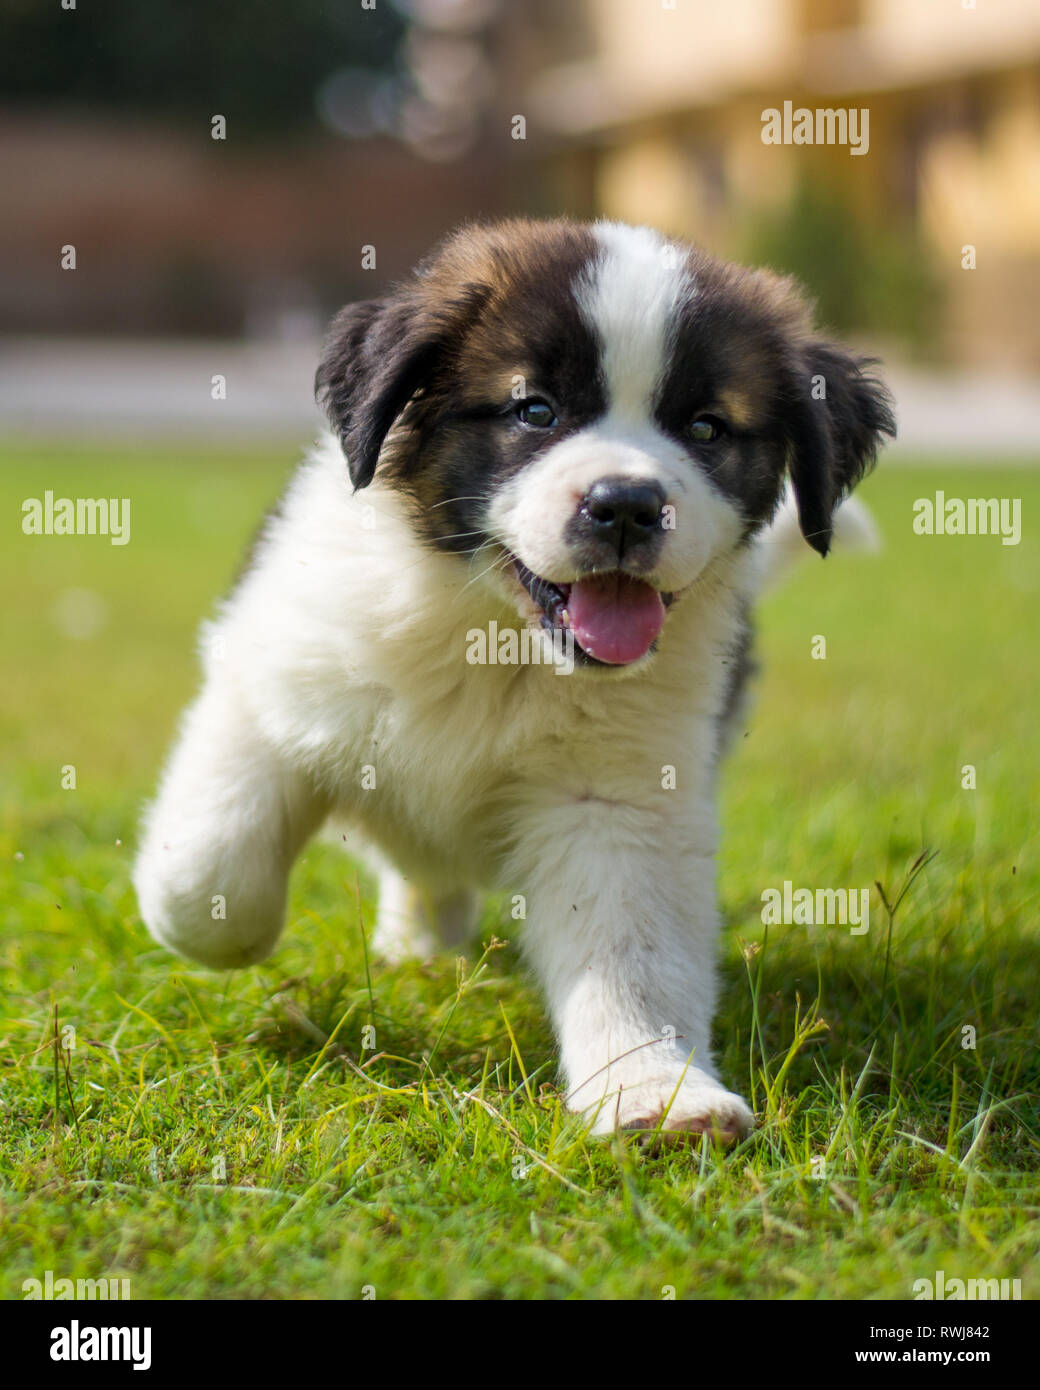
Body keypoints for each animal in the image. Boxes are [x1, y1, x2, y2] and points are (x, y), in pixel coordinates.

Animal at [134, 219, 895, 1139]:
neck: (498, 637)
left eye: (707, 428)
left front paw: (653, 1089)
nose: (626, 505)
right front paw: (225, 935)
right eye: (535, 411)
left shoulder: (617, 800)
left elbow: (631, 953)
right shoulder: (273, 678)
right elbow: (208, 869)